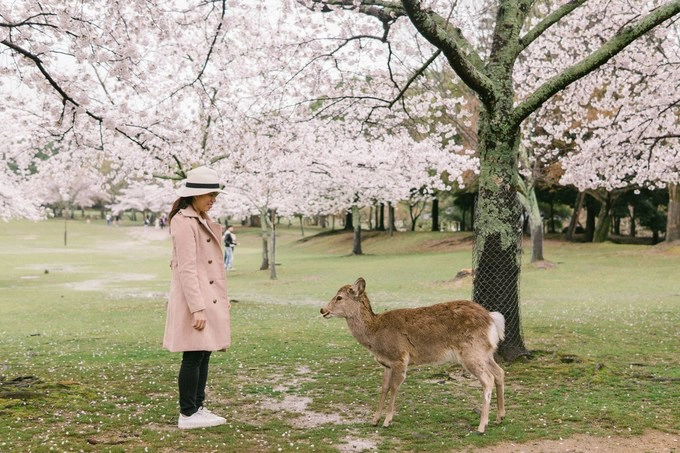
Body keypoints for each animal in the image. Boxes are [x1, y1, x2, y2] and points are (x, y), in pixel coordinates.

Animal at [318, 278, 504, 432]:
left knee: (488, 379)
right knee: (499, 372)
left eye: (339, 297)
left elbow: (394, 387)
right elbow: (383, 388)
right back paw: (500, 417)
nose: (322, 309)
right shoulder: (386, 363)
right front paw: (374, 419)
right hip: (486, 353)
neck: (375, 336)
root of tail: (492, 319)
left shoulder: (399, 357)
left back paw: (482, 426)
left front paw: (387, 421)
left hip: (471, 352)